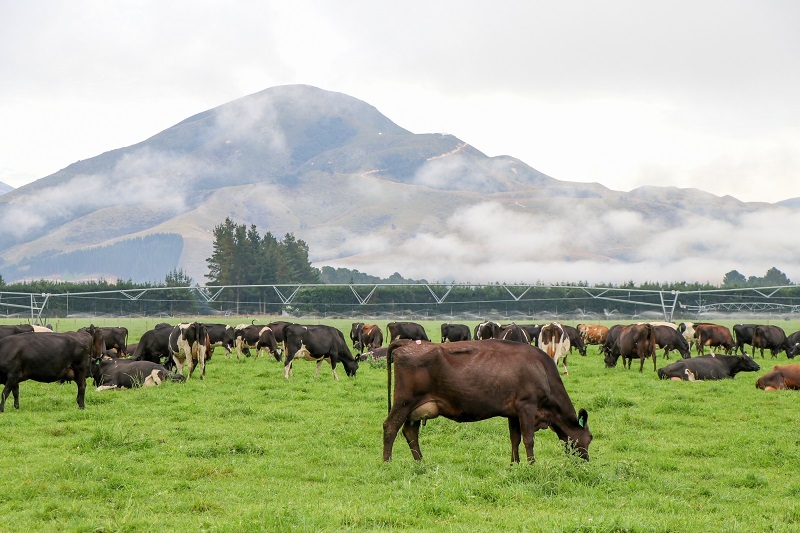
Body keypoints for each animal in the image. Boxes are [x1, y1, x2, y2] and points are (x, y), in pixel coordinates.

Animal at [384, 340, 592, 462]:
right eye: (590, 437)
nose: (585, 461)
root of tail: (406, 343)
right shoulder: (527, 406)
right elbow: (528, 439)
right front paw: (531, 465)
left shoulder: (513, 412)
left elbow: (515, 439)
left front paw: (515, 465)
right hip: (404, 402)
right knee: (390, 427)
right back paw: (387, 463)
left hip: (415, 409)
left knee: (410, 432)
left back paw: (420, 462)